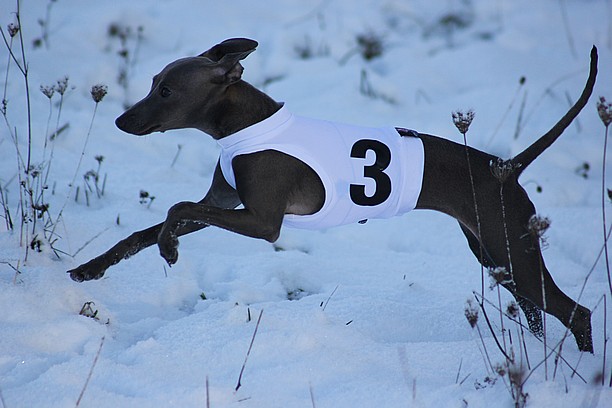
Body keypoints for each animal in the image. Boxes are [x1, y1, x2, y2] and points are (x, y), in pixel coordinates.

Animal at [68, 39, 596, 354]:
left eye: (167, 91)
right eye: (154, 83)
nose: (120, 120)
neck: (242, 126)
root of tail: (504, 167)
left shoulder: (262, 222)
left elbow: (174, 210)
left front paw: (170, 249)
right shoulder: (223, 205)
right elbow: (148, 228)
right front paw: (92, 269)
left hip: (513, 253)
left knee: (577, 313)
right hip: (498, 257)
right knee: (540, 313)